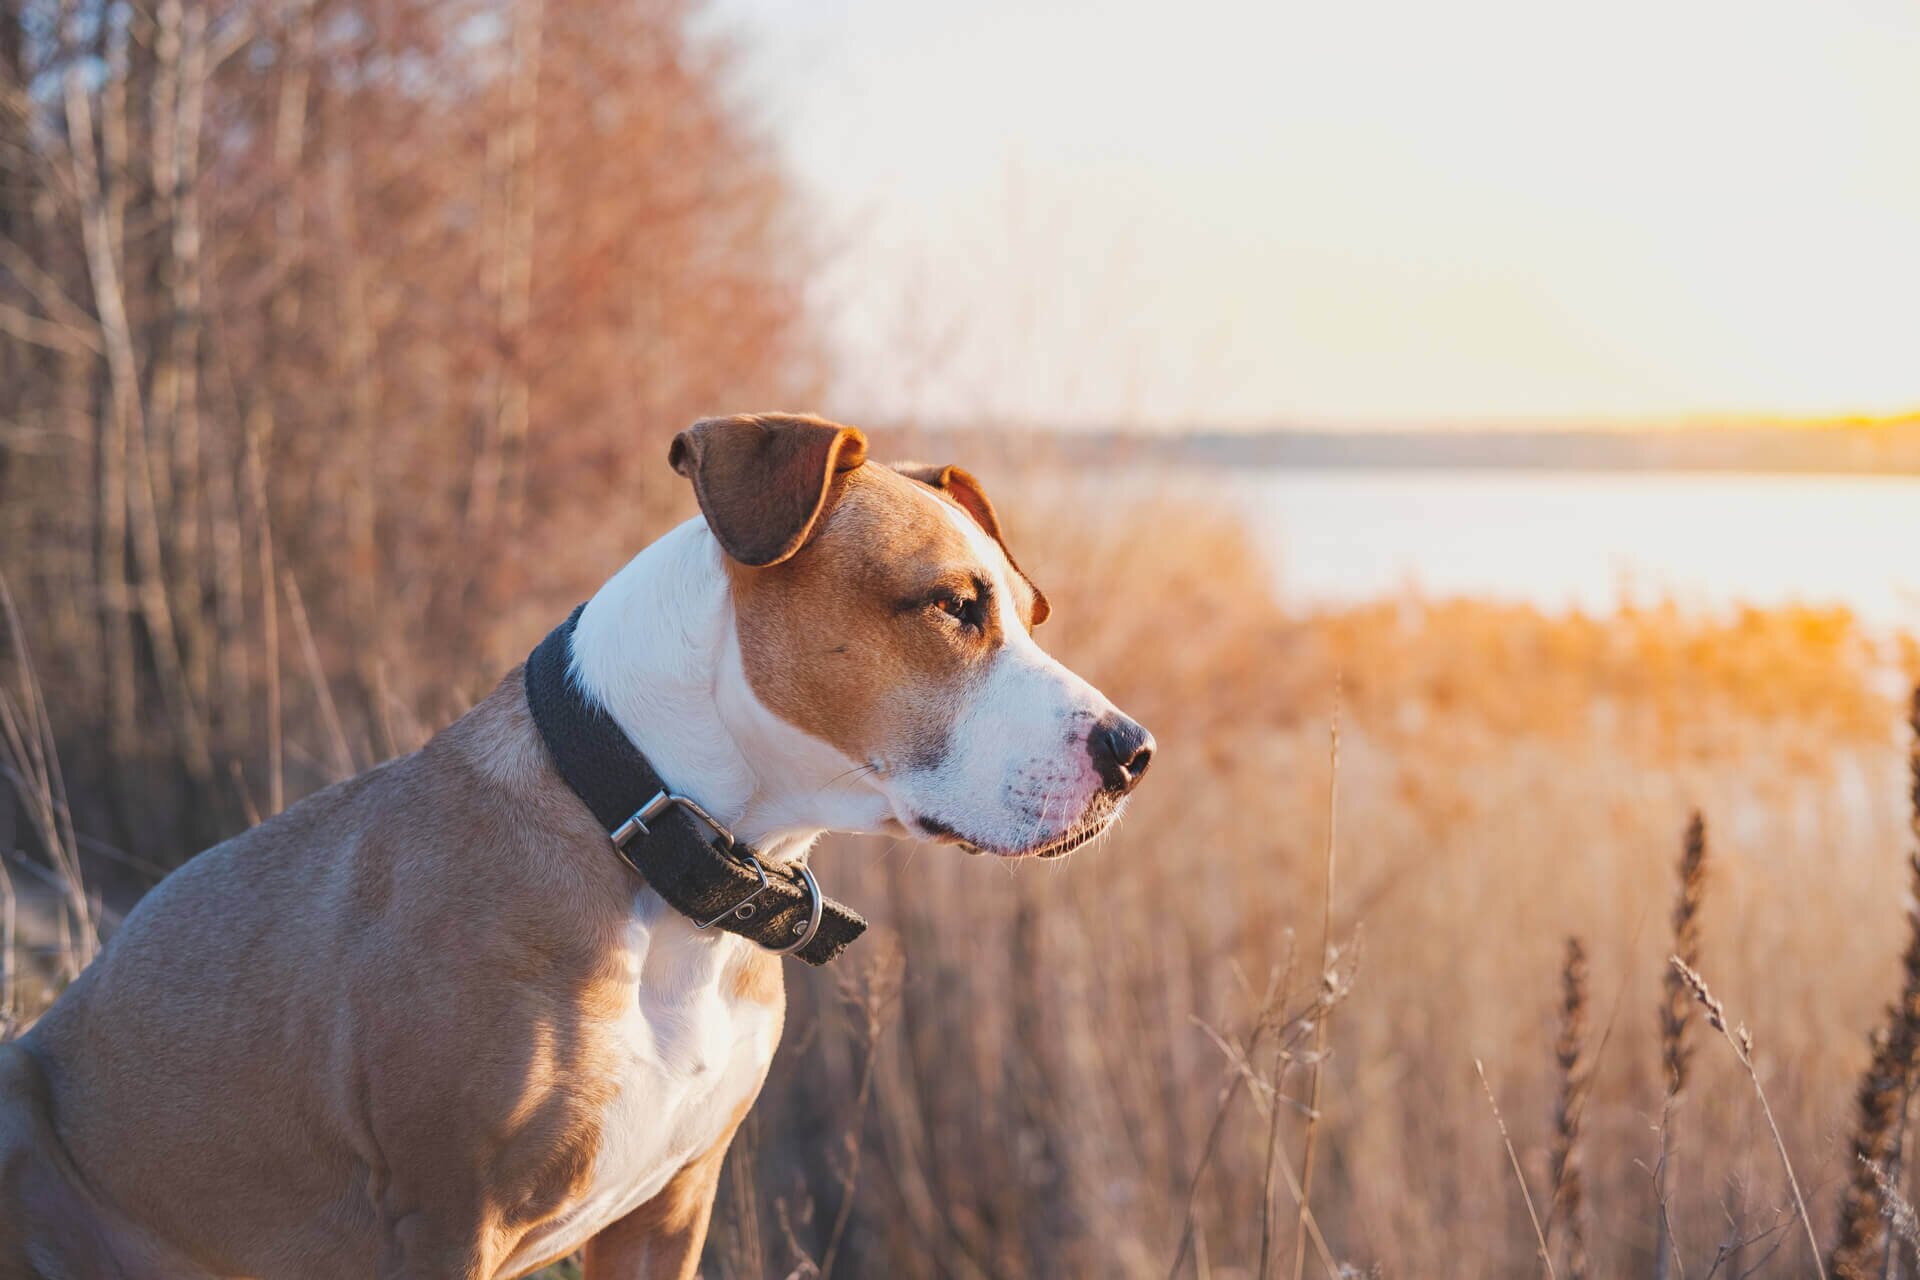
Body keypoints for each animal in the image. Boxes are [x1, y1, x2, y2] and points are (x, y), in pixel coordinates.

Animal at [0, 416, 1152, 1274]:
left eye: (1031, 613)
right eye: (953, 606)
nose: (1134, 750)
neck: (665, 851)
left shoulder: (672, 1207)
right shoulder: (447, 1215)